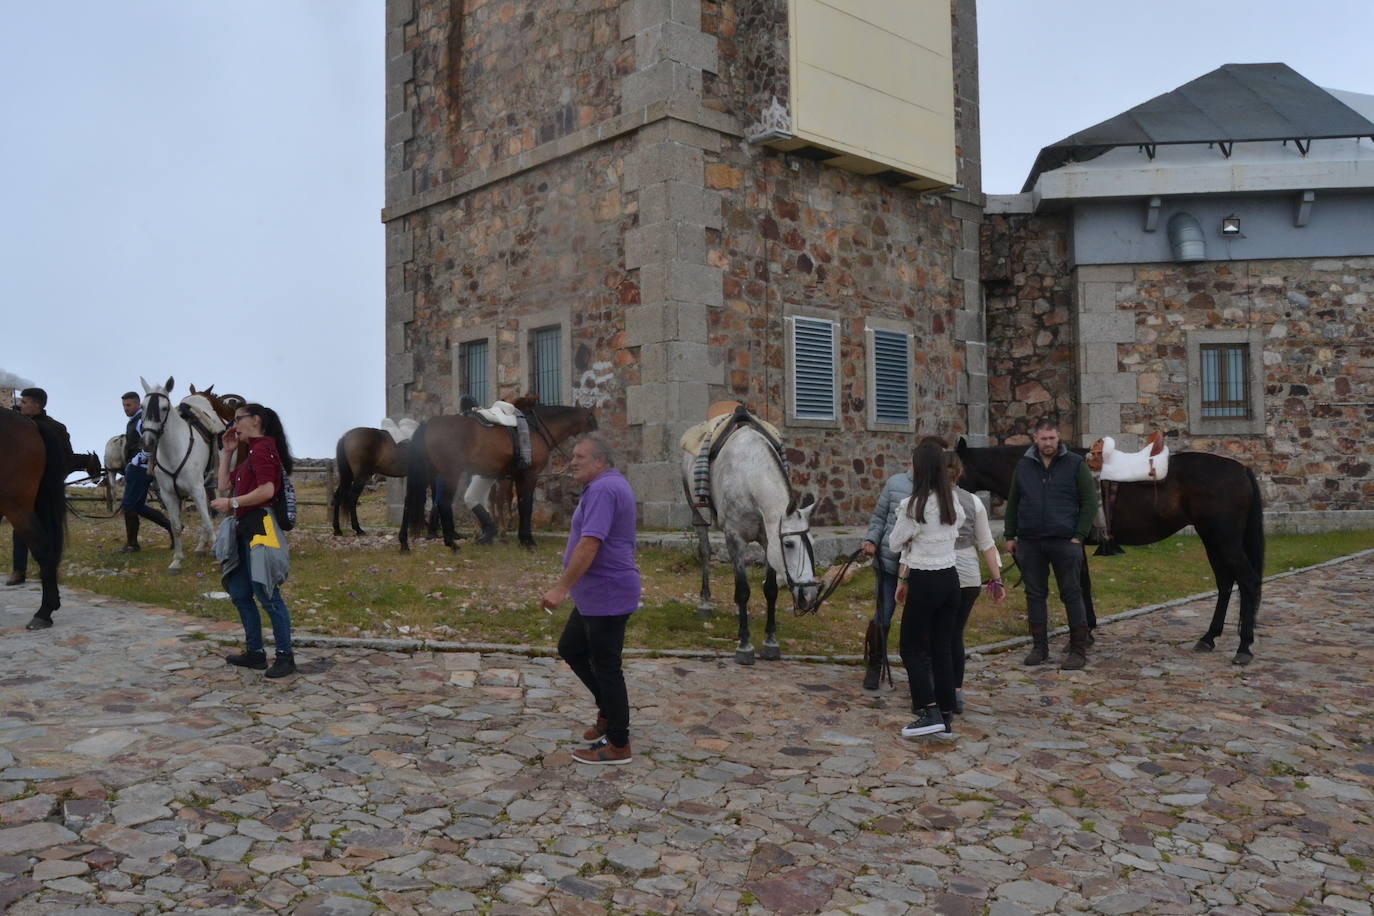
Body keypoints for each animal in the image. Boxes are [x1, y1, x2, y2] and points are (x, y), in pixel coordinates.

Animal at [139, 376, 222, 568]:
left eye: (164, 407)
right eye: (142, 407)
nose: (147, 442)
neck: (174, 452)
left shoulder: (196, 490)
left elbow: (207, 522)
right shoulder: (169, 495)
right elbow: (176, 526)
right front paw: (177, 560)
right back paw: (200, 547)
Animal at [681, 417, 818, 667]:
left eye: (811, 542)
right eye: (789, 544)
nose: (809, 596)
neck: (749, 476)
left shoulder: (767, 540)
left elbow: (770, 589)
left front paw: (771, 643)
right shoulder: (734, 537)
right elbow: (743, 590)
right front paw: (744, 645)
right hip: (697, 513)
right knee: (705, 551)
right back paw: (705, 603)